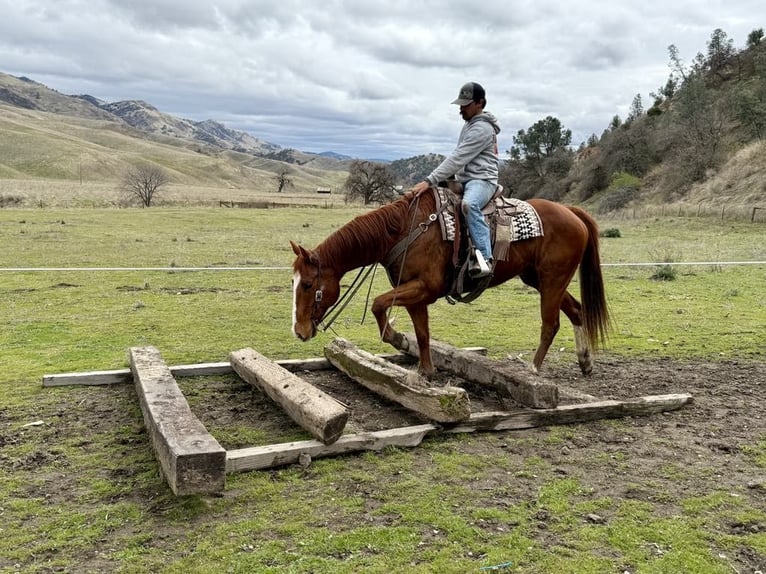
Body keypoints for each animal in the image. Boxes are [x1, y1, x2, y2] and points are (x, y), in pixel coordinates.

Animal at [292, 189, 616, 378]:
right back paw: (585, 362)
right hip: (539, 278)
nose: (299, 331)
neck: (404, 230)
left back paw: (533, 369)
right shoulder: (415, 292)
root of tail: (571, 211)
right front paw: (425, 369)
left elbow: (378, 304)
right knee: (576, 310)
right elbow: (422, 333)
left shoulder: (424, 287)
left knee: (551, 323)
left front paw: (397, 338)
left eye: (307, 284)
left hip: (552, 279)